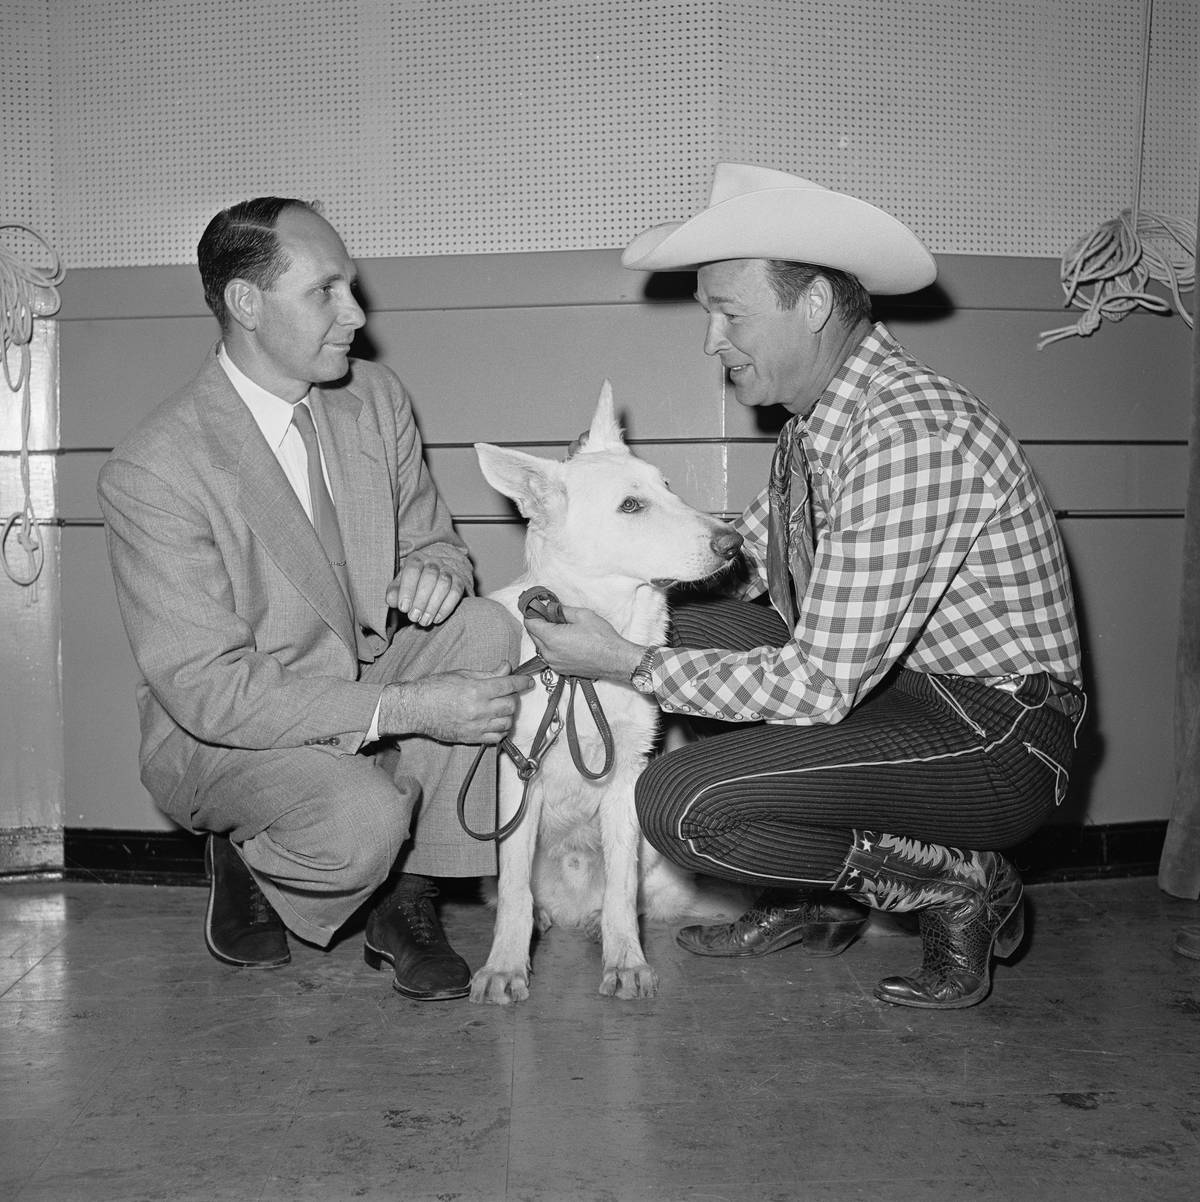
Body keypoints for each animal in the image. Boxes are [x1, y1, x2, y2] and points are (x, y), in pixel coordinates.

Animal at [471, 384, 745, 1004]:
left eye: (667, 486)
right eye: (631, 506)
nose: (734, 542)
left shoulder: (626, 784)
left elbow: (622, 891)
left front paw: (626, 962)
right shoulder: (517, 778)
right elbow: (516, 894)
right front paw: (505, 966)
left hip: (657, 855)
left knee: (631, 899)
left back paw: (598, 924)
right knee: (522, 897)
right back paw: (544, 921)